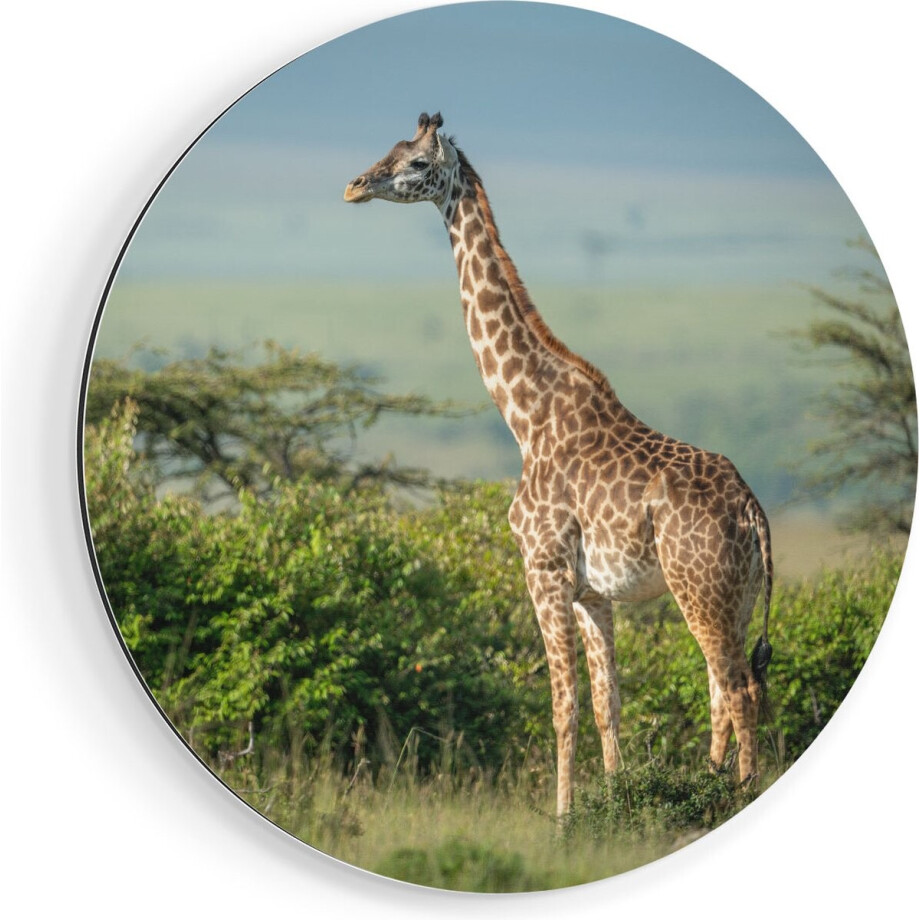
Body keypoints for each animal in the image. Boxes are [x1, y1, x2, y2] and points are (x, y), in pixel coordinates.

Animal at [344, 112, 773, 817]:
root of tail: (753, 510)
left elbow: (561, 705)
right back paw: (713, 789)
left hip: (700, 588)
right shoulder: (591, 592)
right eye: (389, 148)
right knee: (727, 689)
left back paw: (732, 796)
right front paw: (619, 802)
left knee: (735, 690)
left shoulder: (542, 569)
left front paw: (563, 818)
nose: (354, 186)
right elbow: (605, 704)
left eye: (414, 164)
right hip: (733, 597)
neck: (524, 415)